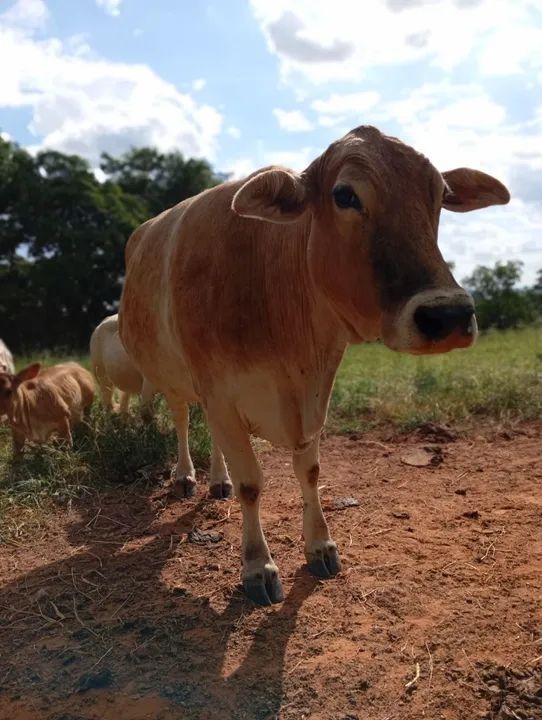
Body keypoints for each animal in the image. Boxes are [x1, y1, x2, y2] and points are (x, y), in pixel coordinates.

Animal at [90, 313, 231, 498]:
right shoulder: (152, 383)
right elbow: (147, 413)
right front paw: (151, 438)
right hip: (101, 374)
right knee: (107, 405)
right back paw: (110, 431)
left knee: (124, 399)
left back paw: (124, 425)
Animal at [119, 125, 510, 605]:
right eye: (344, 195)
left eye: (439, 194)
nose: (448, 315)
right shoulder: (221, 392)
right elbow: (252, 483)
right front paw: (258, 566)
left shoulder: (315, 393)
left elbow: (309, 472)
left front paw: (320, 546)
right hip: (173, 379)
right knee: (180, 419)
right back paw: (185, 475)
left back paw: (217, 481)